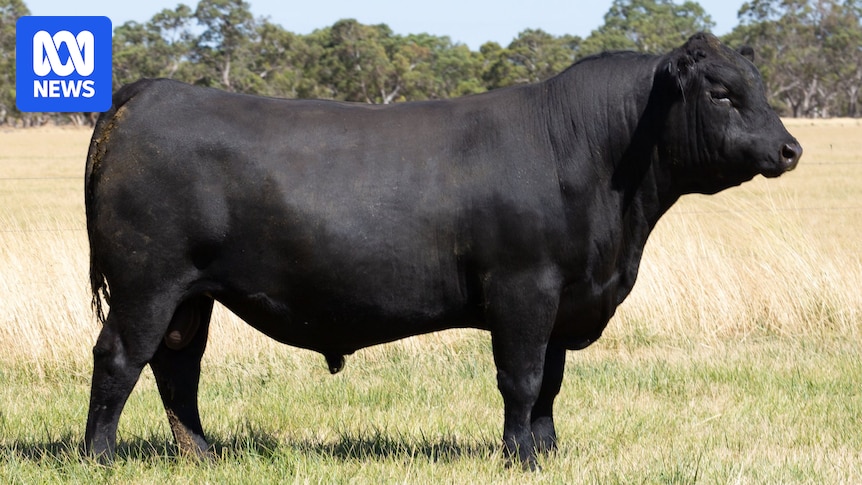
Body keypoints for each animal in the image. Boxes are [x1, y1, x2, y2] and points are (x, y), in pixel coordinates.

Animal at [83, 33, 801, 467]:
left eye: (762, 89)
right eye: (721, 93)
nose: (790, 148)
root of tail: (148, 92)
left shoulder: (565, 300)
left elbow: (551, 384)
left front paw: (547, 453)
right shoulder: (524, 288)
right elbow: (522, 378)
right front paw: (518, 457)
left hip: (191, 293)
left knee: (178, 366)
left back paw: (203, 455)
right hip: (148, 280)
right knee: (120, 358)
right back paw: (99, 456)